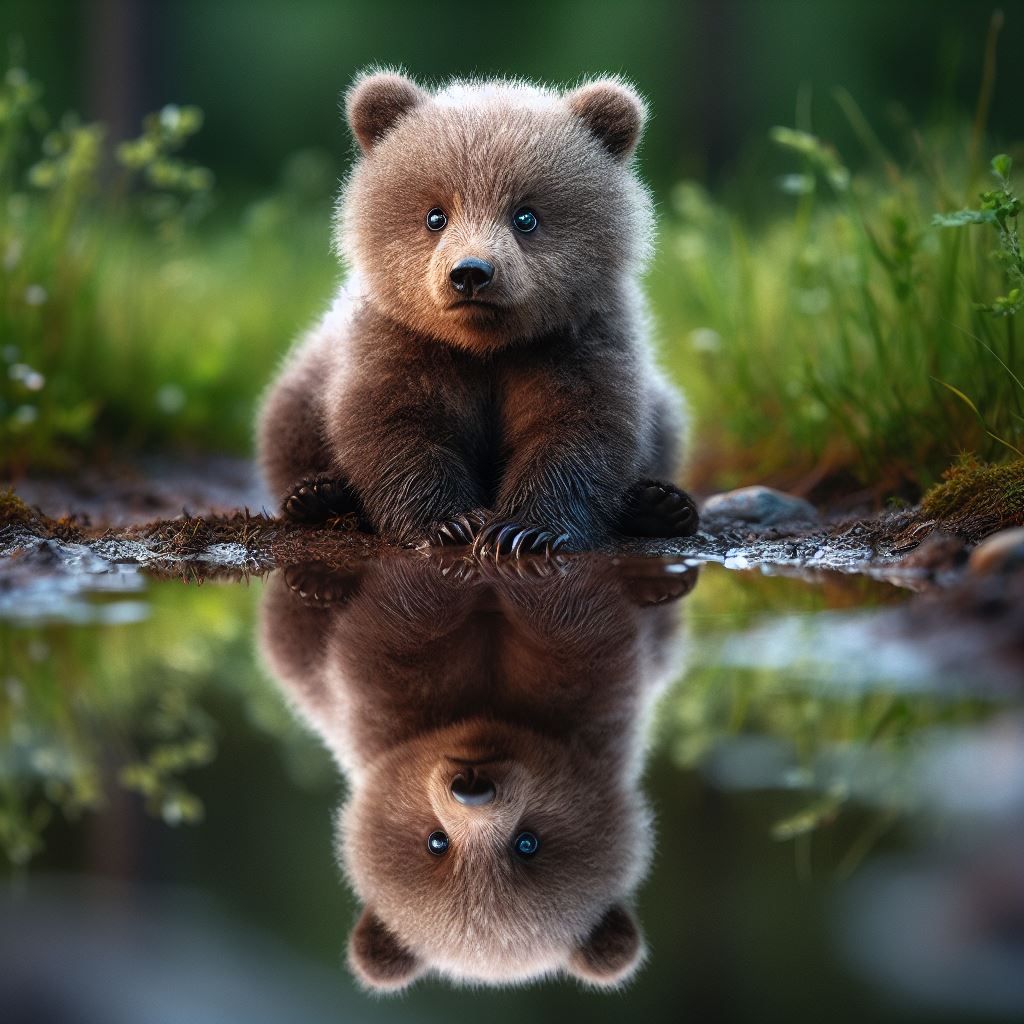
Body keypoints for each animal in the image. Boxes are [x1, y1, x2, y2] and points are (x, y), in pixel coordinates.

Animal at [257, 70, 698, 553]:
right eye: (435, 216)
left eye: (525, 216)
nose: (470, 272)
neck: (485, 346)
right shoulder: (401, 340)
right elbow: (396, 425)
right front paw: (451, 522)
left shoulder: (575, 339)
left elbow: (577, 426)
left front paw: (524, 529)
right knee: (286, 418)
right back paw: (317, 496)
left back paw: (660, 504)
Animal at [258, 553, 697, 990]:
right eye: (437, 841)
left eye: (526, 843)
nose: (472, 790)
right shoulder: (378, 710)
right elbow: (398, 641)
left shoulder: (595, 716)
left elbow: (578, 641)